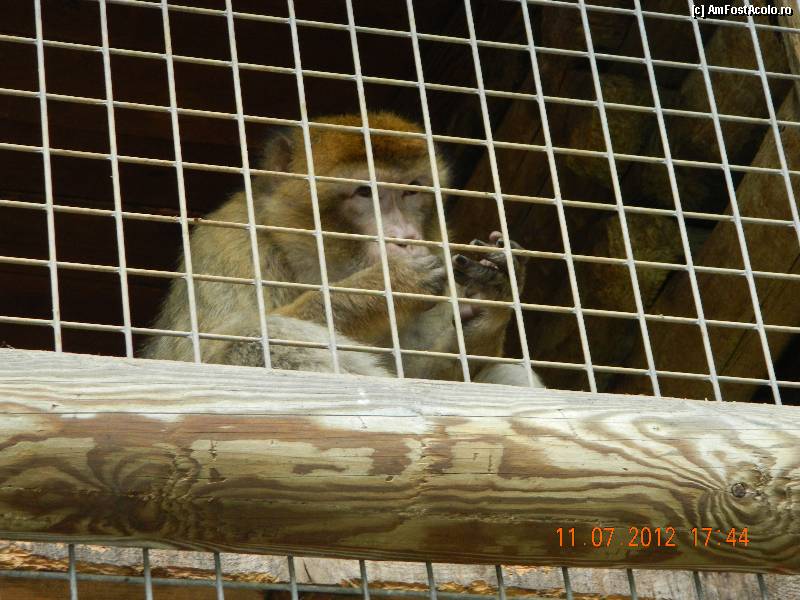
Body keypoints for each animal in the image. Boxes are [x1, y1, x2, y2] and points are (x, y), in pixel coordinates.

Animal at [141, 112, 543, 387]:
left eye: (410, 190)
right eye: (365, 192)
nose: (404, 236)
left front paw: (491, 300)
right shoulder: (231, 244)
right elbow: (208, 354)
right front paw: (385, 286)